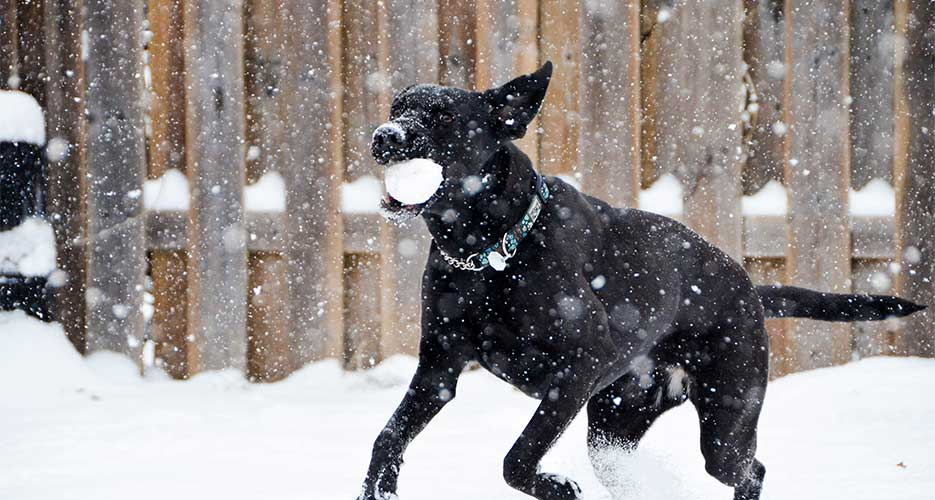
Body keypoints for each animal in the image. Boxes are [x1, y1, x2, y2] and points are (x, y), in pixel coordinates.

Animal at [354, 62, 924, 500]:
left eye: (446, 116)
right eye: (397, 107)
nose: (385, 136)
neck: (491, 253)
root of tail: (746, 284)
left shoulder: (578, 368)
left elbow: (517, 457)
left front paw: (556, 486)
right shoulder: (439, 369)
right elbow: (387, 437)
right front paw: (377, 490)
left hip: (726, 420)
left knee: (751, 469)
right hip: (615, 426)